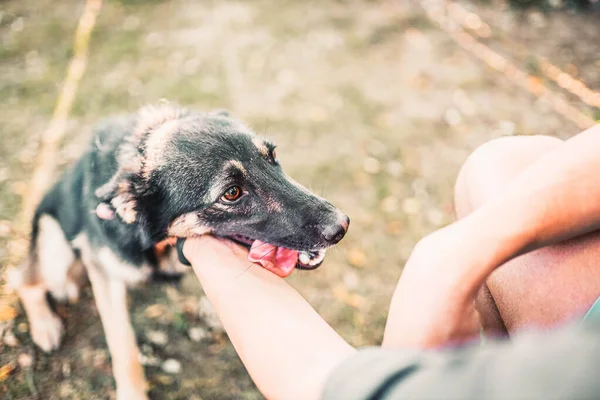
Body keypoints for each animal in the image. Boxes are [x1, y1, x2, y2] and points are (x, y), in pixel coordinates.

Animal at [9, 105, 350, 400]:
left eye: (273, 156)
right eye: (231, 193)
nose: (341, 226)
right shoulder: (104, 274)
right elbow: (123, 346)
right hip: (56, 248)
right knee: (23, 280)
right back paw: (45, 325)